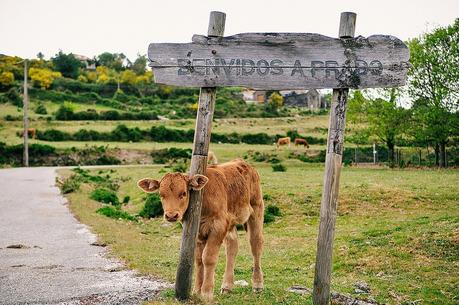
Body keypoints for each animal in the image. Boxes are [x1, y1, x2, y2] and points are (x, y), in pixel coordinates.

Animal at [137, 159, 264, 300]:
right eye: (161, 195)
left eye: (183, 193)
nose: (171, 215)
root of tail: (243, 163)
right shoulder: (197, 232)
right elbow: (198, 260)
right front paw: (197, 290)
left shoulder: (218, 226)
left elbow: (208, 258)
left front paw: (206, 292)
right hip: (231, 221)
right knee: (232, 247)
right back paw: (227, 286)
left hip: (256, 208)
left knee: (256, 245)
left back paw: (258, 285)